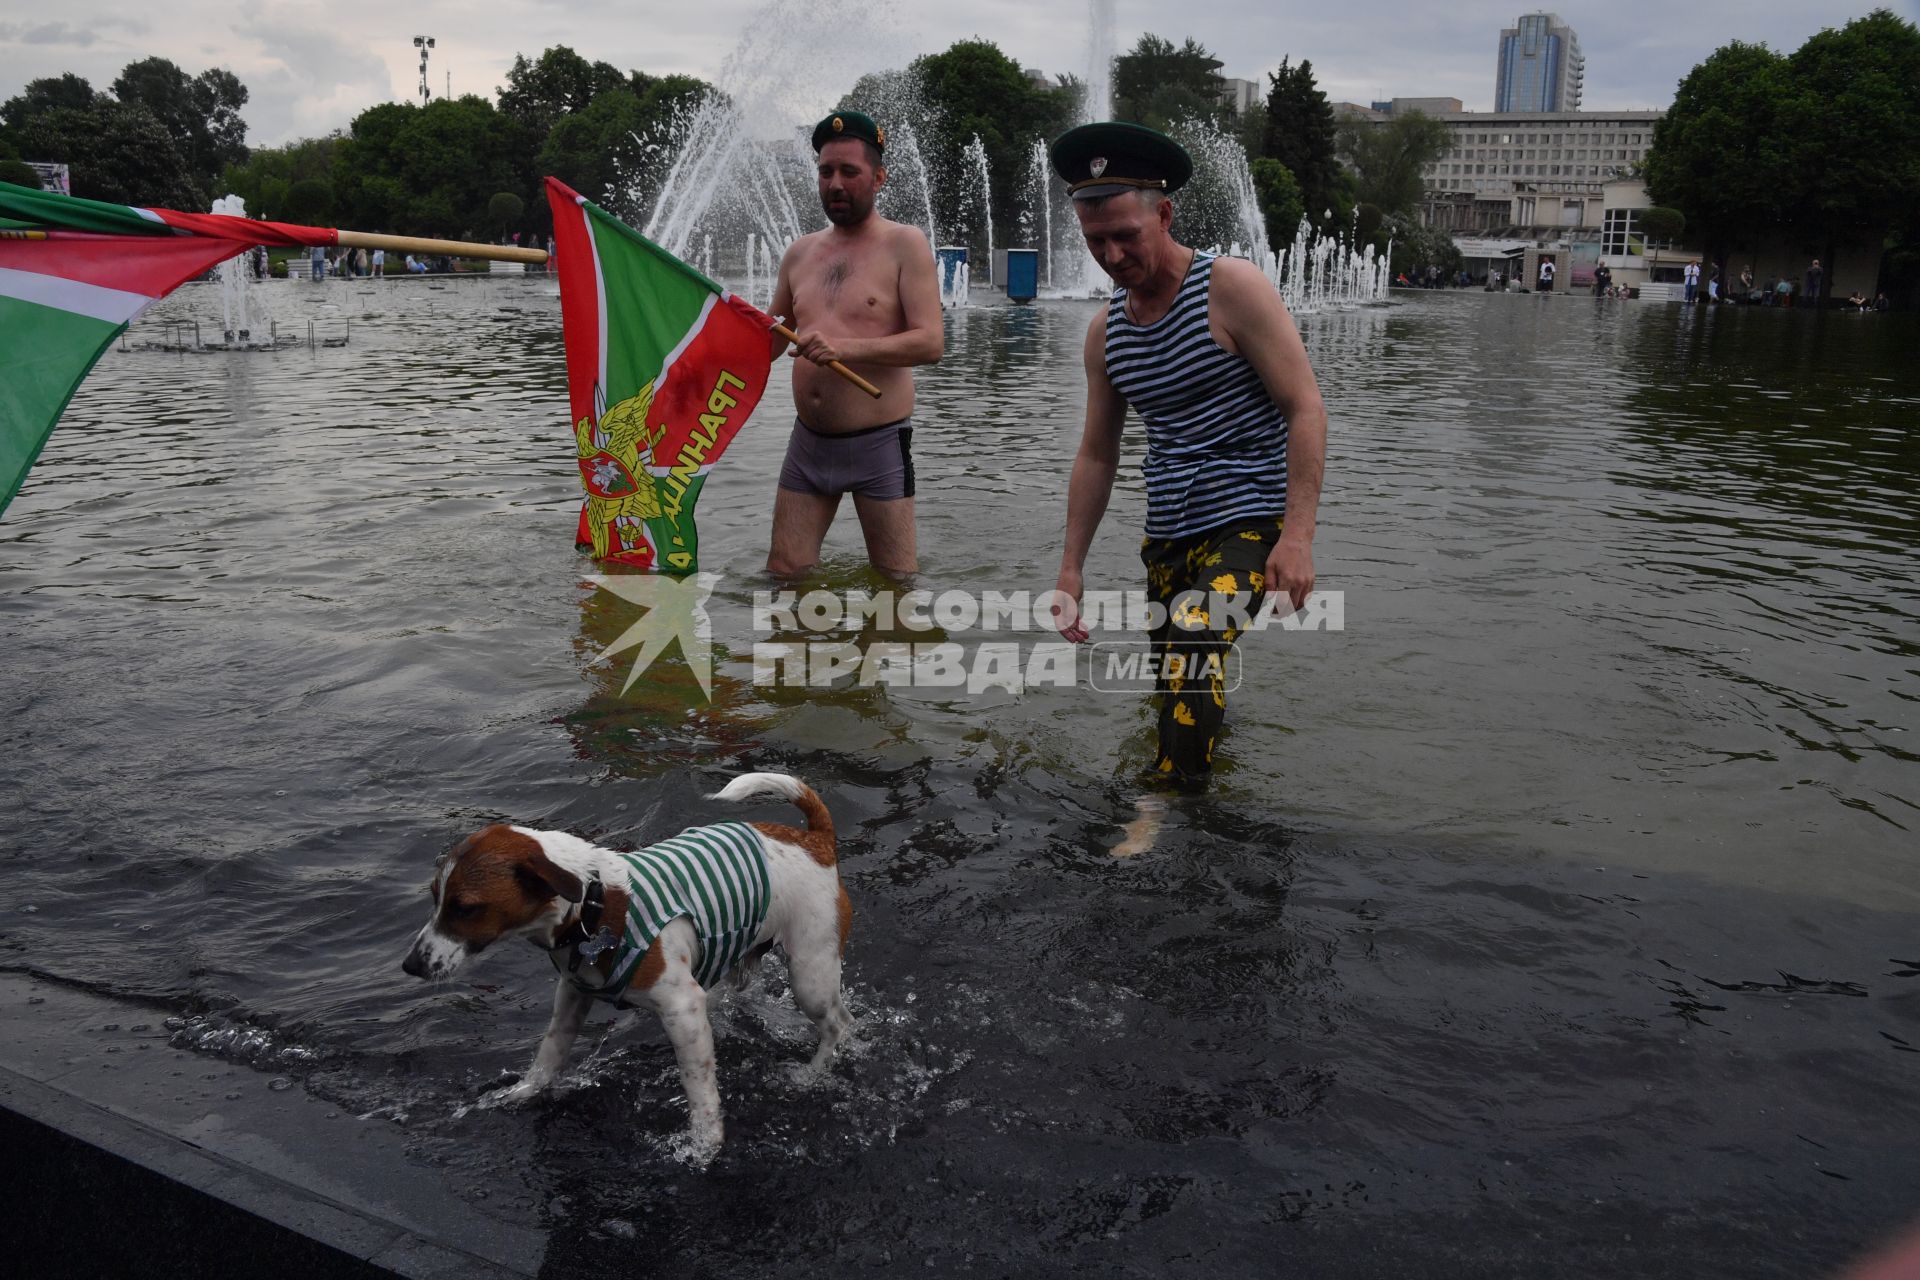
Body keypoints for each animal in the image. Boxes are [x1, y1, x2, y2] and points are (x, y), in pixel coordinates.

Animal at [401, 771, 852, 1159]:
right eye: (435, 898)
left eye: (465, 909)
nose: (410, 965)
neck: (594, 903)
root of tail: (813, 840)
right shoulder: (572, 995)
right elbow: (550, 1054)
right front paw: (523, 1092)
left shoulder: (682, 1010)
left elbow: (700, 1088)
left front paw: (704, 1144)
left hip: (809, 975)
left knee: (837, 1024)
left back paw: (813, 1073)